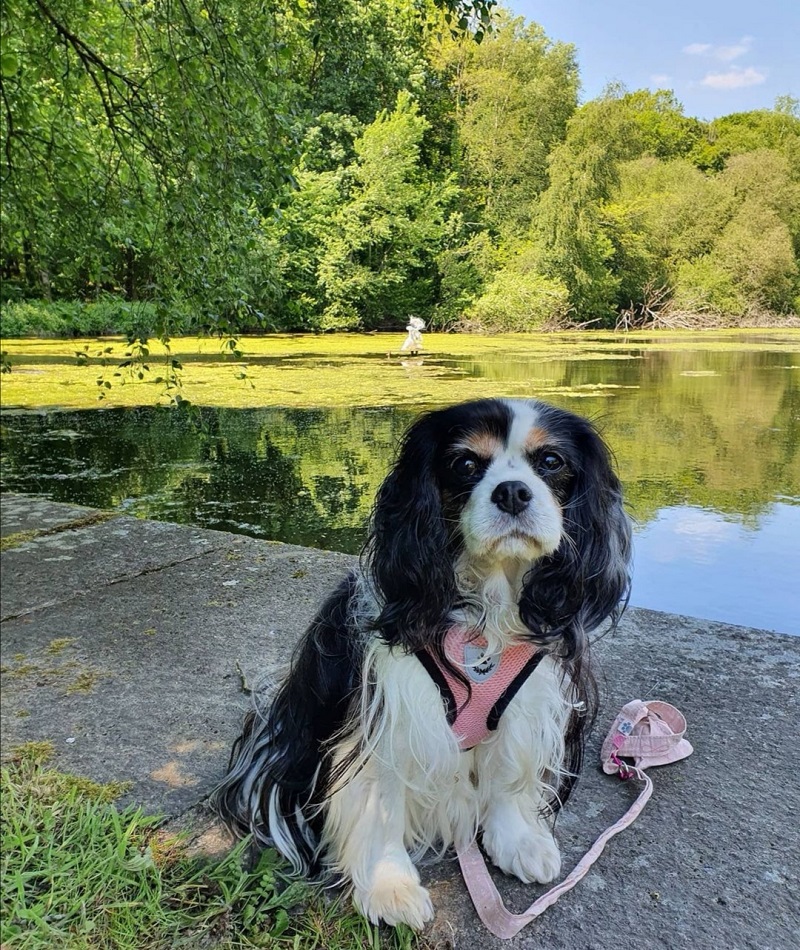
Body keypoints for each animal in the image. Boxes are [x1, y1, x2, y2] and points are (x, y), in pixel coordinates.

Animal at [214, 398, 632, 932]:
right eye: (466, 464)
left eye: (552, 461)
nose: (513, 492)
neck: (484, 608)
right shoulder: (388, 715)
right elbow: (380, 800)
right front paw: (388, 884)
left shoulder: (524, 702)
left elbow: (505, 772)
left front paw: (517, 839)